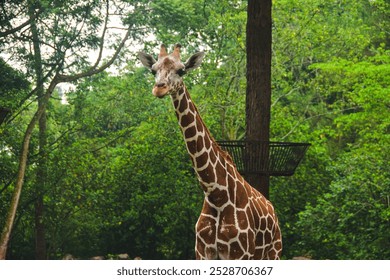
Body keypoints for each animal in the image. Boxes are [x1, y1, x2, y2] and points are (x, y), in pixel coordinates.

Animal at [139, 43, 282, 260]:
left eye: (181, 70)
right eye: (153, 70)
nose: (159, 88)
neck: (216, 194)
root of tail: (273, 211)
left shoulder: (239, 254)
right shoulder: (202, 252)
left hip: (274, 253)